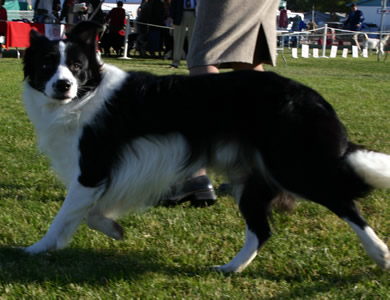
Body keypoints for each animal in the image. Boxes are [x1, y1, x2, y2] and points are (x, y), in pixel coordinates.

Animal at [22, 22, 390, 274]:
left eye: (77, 67)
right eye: (47, 66)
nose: (63, 85)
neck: (86, 95)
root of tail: (312, 97)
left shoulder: (93, 167)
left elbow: (65, 214)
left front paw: (36, 249)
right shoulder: (108, 175)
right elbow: (91, 213)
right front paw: (114, 229)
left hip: (294, 168)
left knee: (345, 203)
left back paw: (381, 254)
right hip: (253, 177)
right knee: (261, 230)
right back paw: (231, 268)